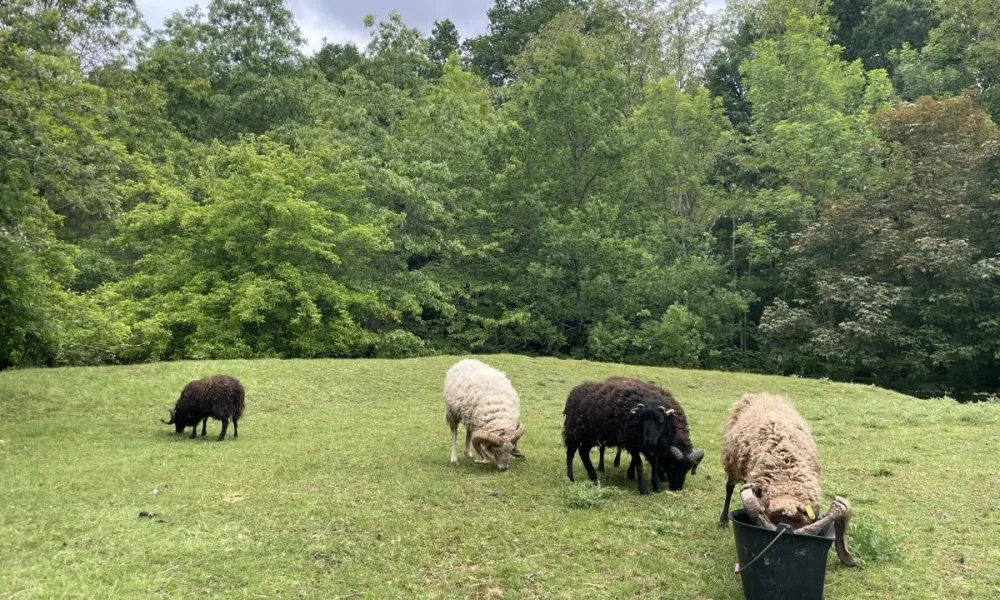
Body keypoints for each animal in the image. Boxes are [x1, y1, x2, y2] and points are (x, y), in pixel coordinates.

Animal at [563, 377, 703, 495]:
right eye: (672, 465)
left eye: (687, 469)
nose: (676, 488)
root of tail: (576, 390)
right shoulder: (632, 443)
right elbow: (639, 465)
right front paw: (643, 489)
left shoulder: (656, 447)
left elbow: (654, 463)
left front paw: (656, 485)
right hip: (573, 431)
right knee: (570, 455)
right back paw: (570, 478)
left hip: (590, 435)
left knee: (583, 452)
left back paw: (593, 477)